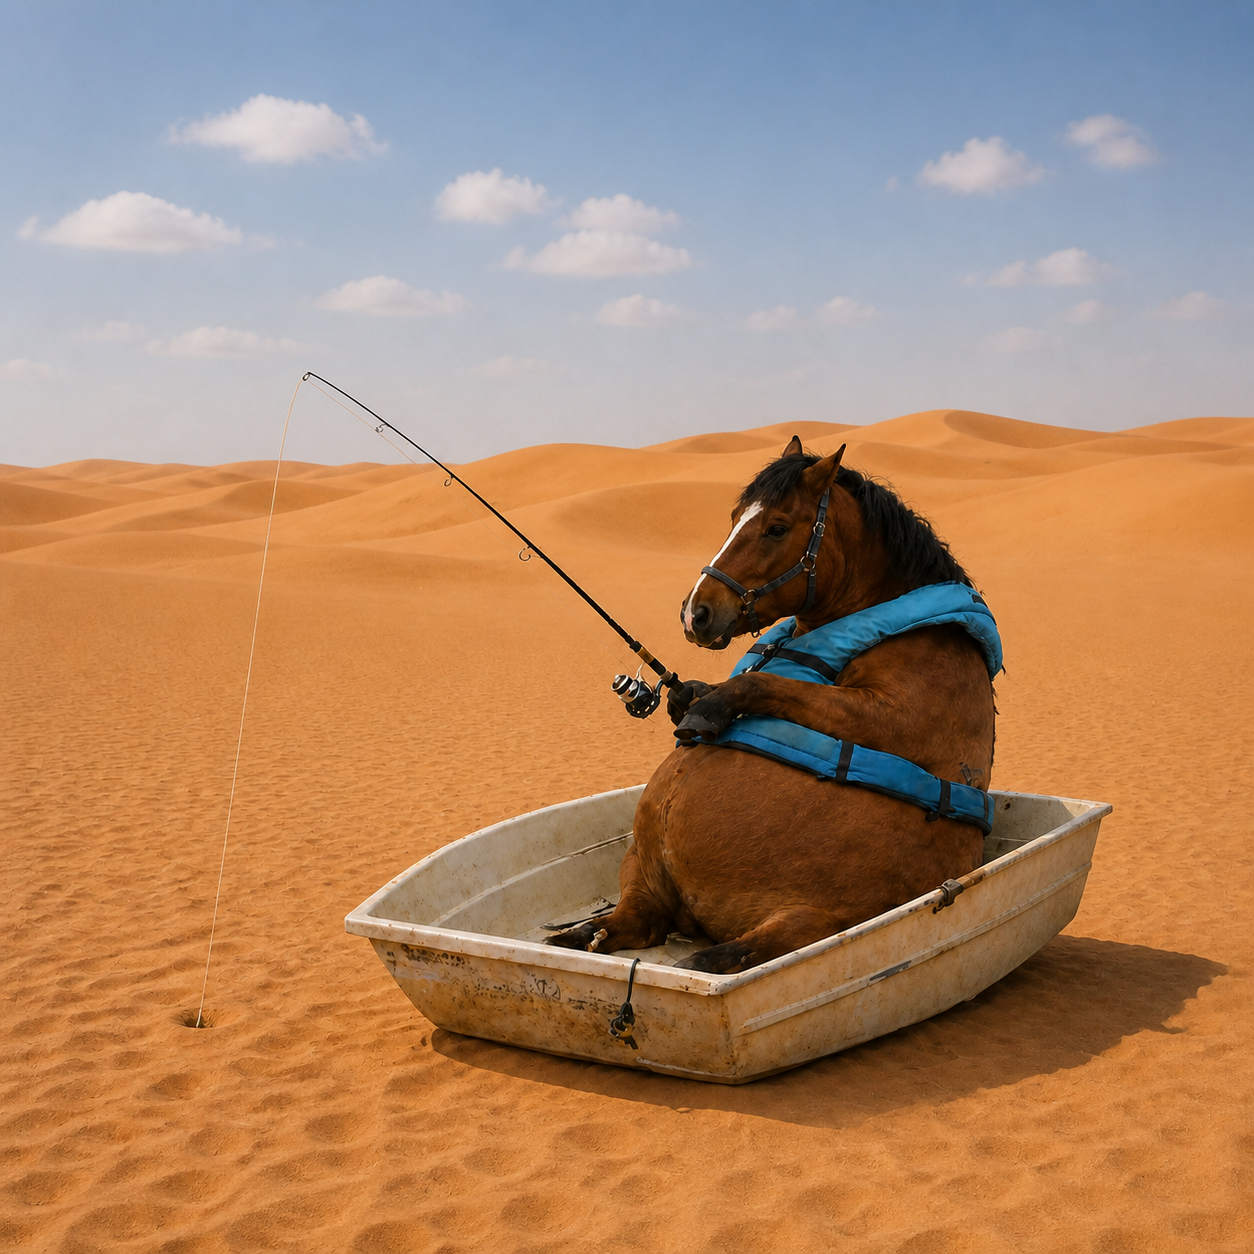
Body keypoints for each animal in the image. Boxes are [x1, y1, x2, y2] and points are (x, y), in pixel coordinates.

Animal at [547, 436, 998, 974]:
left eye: (777, 528)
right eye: (734, 517)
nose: (695, 612)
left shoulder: (894, 717)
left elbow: (768, 685)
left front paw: (710, 708)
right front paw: (689, 695)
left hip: (808, 917)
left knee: (719, 956)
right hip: (643, 869)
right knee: (631, 922)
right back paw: (582, 936)